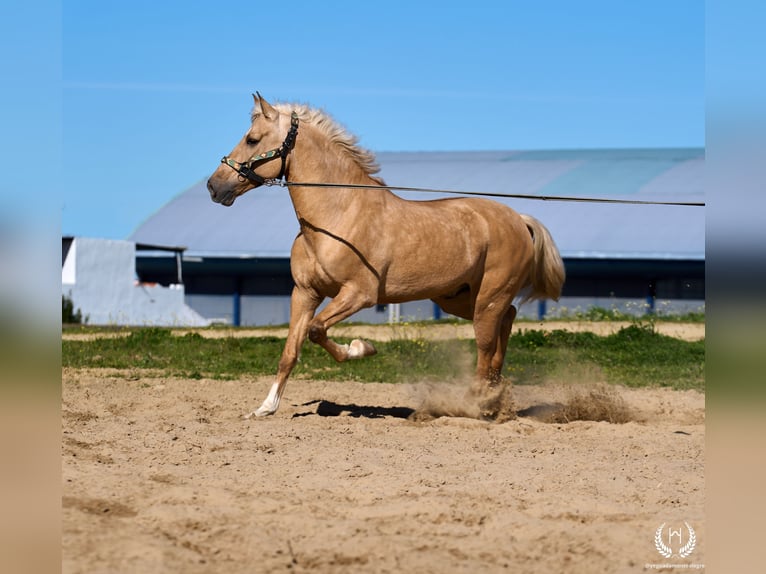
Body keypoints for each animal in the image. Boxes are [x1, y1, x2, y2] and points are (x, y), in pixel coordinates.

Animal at [207, 93, 565, 418]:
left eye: (252, 139)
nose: (214, 186)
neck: (338, 216)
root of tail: (519, 220)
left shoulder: (359, 294)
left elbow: (317, 331)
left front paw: (362, 347)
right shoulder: (305, 293)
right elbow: (290, 351)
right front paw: (264, 408)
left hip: (488, 299)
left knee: (486, 345)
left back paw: (479, 405)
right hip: (459, 298)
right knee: (508, 319)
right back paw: (495, 396)